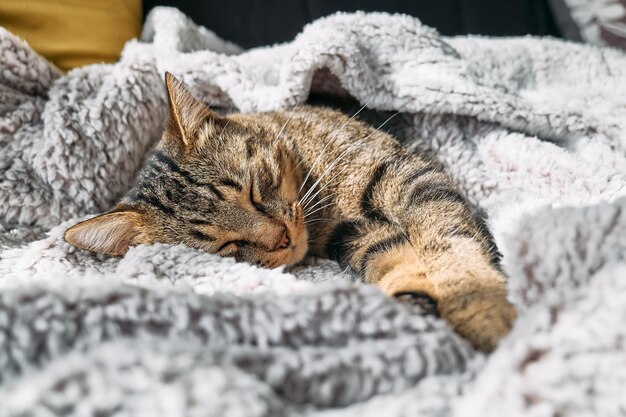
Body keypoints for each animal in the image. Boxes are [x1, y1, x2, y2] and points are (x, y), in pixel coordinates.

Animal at [63, 72, 516, 352]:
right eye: (227, 246)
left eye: (252, 192)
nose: (282, 238)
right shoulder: (359, 238)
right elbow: (396, 260)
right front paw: (415, 299)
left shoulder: (407, 178)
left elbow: (452, 248)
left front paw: (485, 315)